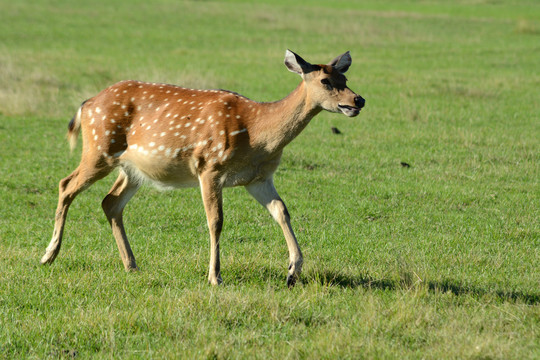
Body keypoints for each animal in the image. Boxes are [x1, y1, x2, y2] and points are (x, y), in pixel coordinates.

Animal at [40, 50, 364, 286]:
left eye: (345, 75)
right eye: (325, 81)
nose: (358, 99)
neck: (258, 134)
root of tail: (86, 104)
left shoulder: (258, 178)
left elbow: (281, 211)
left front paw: (293, 271)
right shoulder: (210, 166)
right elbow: (216, 221)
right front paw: (215, 276)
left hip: (131, 169)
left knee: (110, 202)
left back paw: (131, 265)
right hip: (99, 148)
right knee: (66, 185)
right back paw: (49, 255)